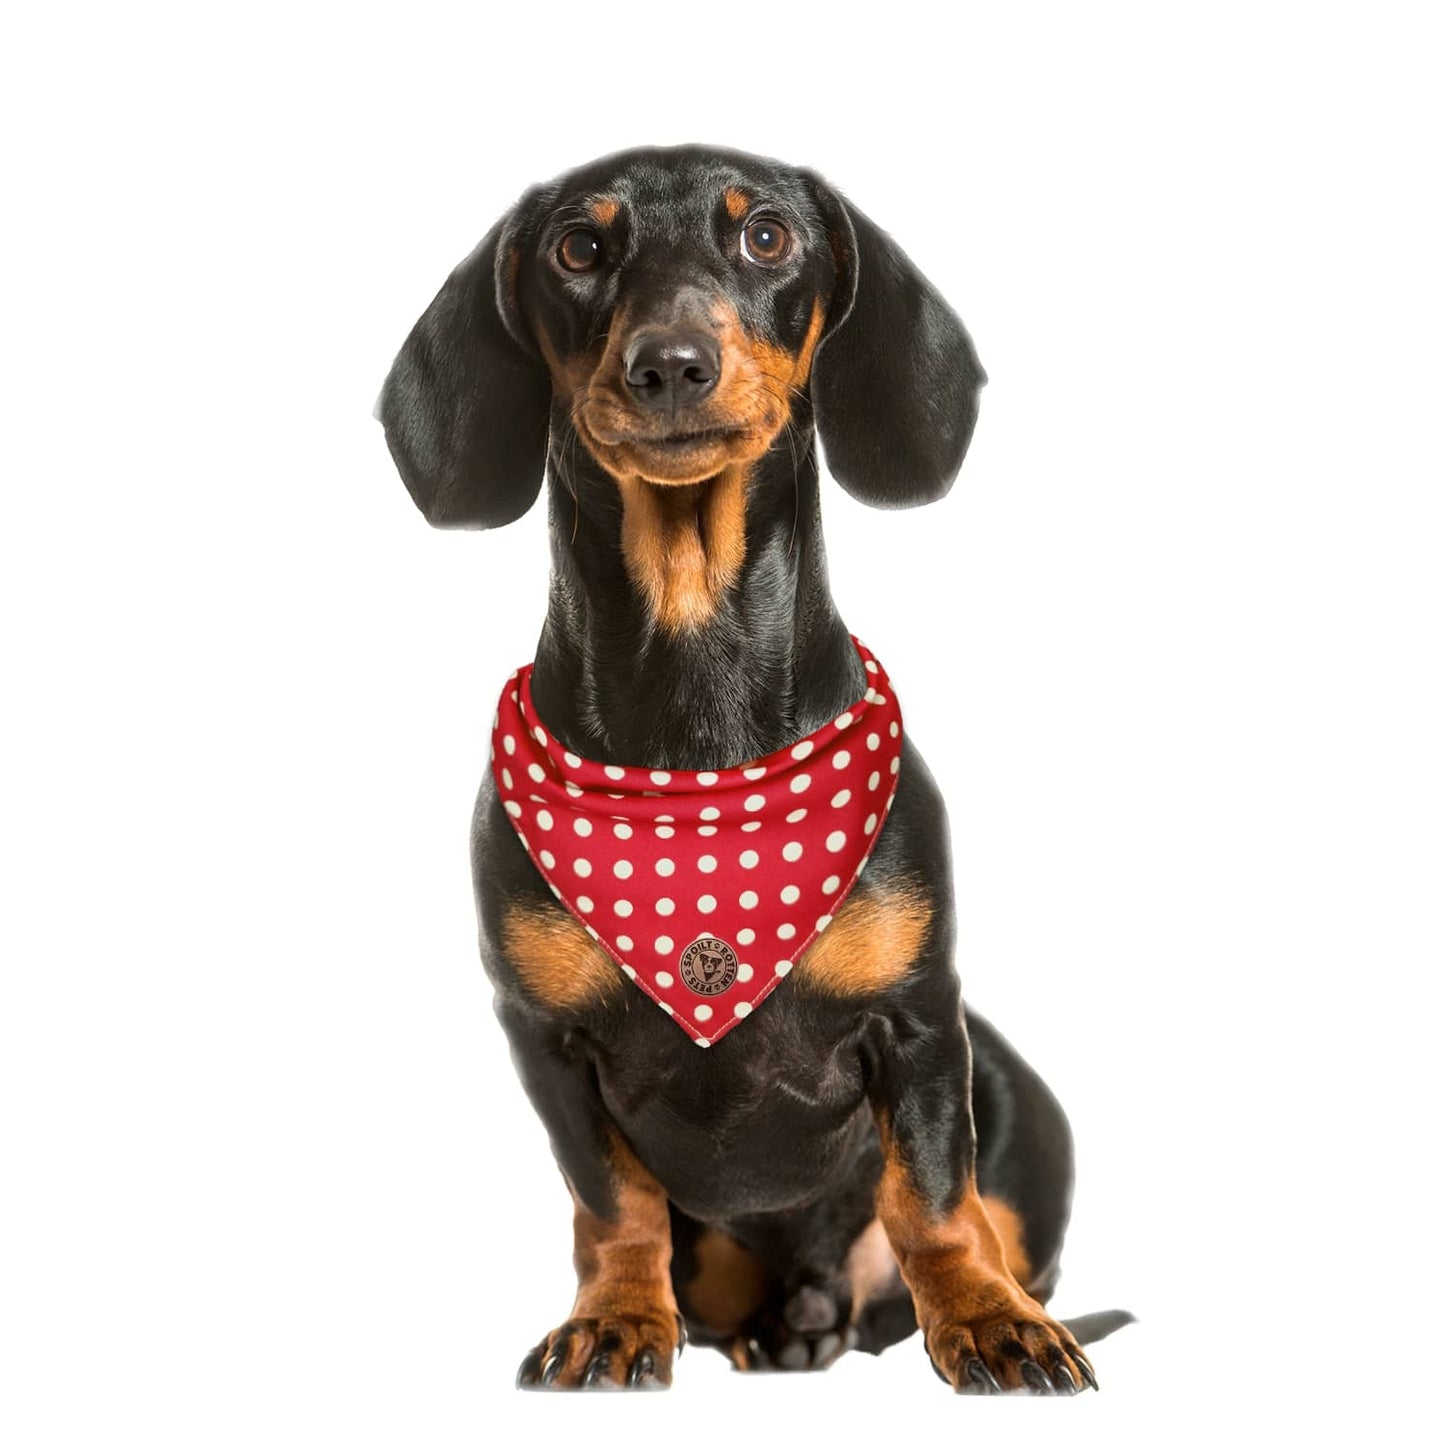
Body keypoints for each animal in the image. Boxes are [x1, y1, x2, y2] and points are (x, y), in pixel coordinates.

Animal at [378, 143, 1132, 1387]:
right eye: (577, 248)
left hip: (1012, 1095)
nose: (670, 365)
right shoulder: (546, 1046)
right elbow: (613, 1203)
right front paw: (615, 1319)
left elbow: (934, 1193)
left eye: (765, 235)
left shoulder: (922, 1022)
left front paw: (986, 1320)